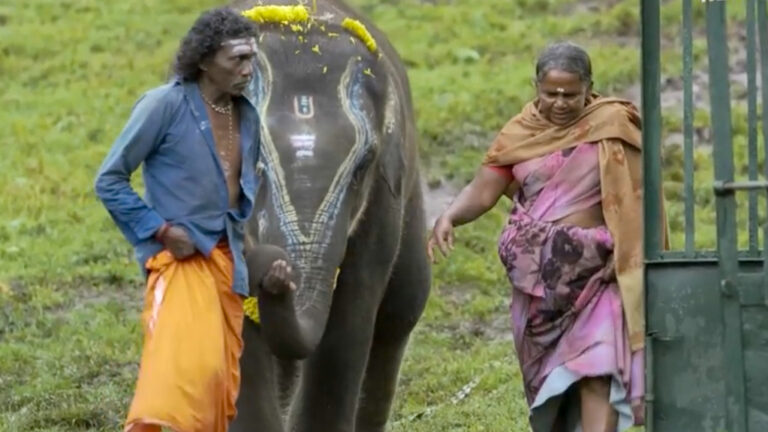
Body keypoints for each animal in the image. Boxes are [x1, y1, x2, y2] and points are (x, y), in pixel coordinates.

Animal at [226, 1, 432, 431]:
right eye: (256, 165)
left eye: (362, 166)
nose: (277, 272)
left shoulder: (381, 203)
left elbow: (348, 323)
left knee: (401, 312)